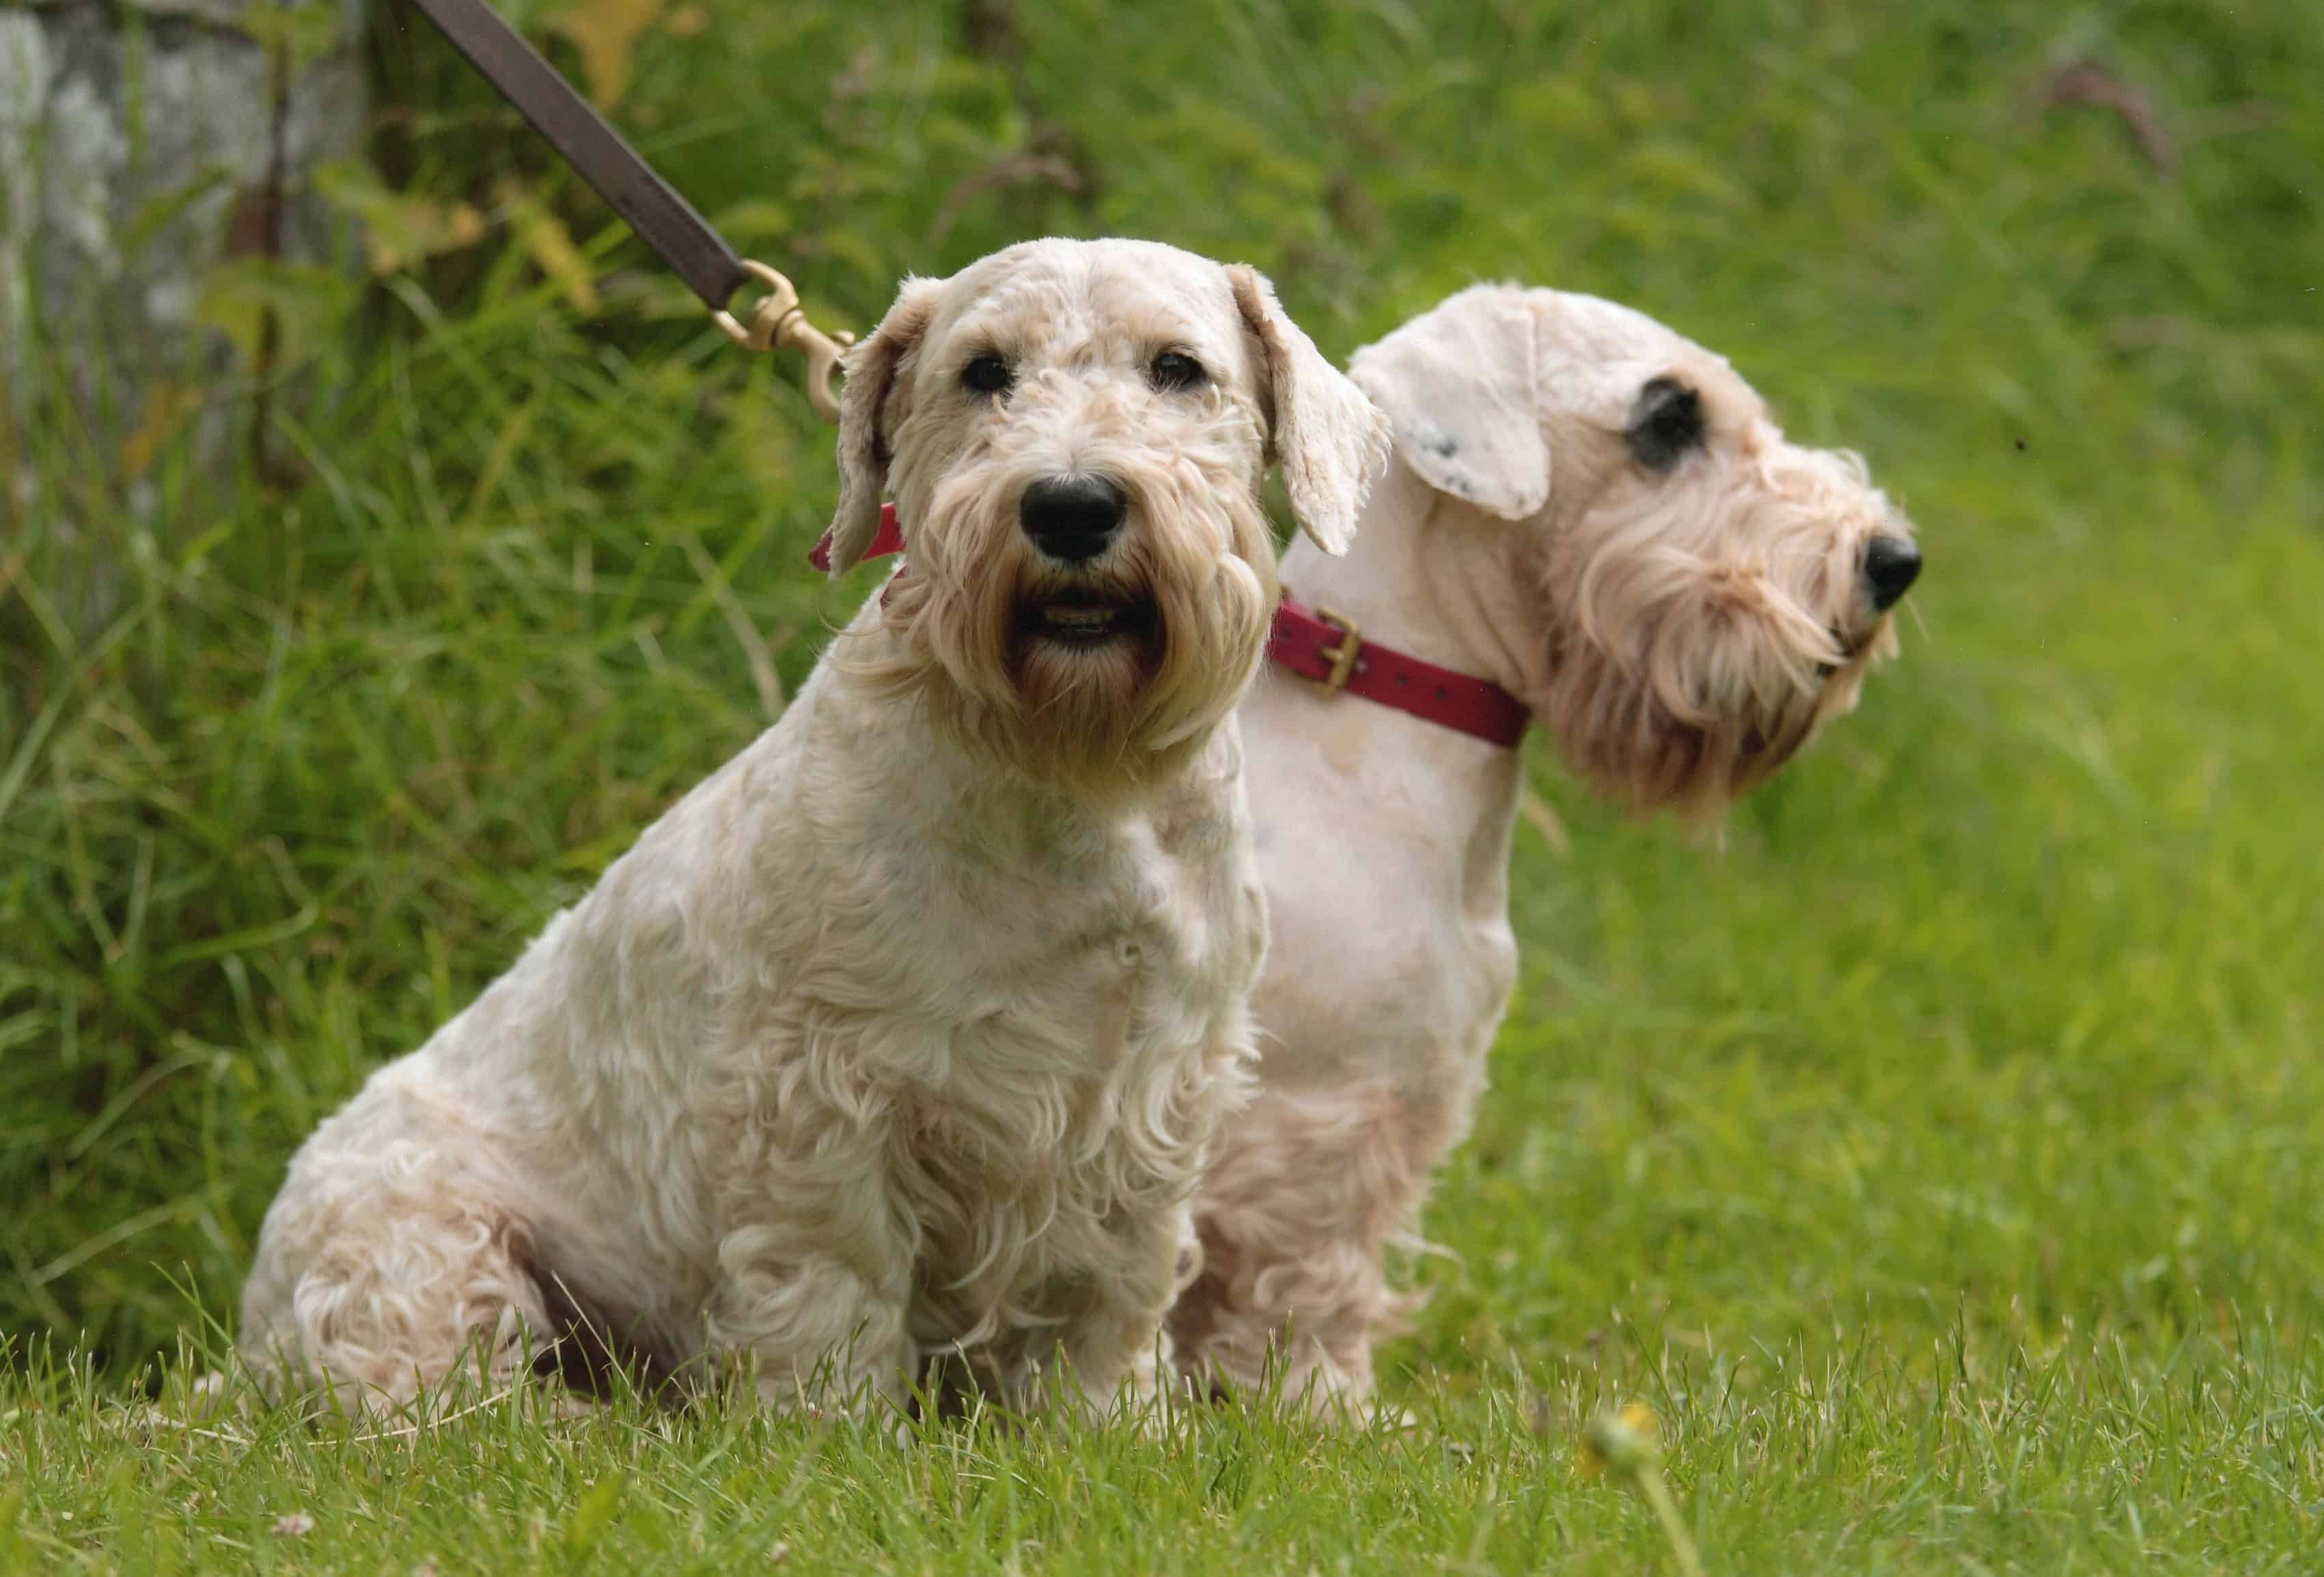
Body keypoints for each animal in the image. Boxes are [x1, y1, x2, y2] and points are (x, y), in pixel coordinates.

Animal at [1171, 283, 1915, 1421]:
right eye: (1666, 419)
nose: (1890, 560)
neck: (1379, 706)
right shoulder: (1324, 1115)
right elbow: (1308, 1283)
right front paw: (1330, 1412)